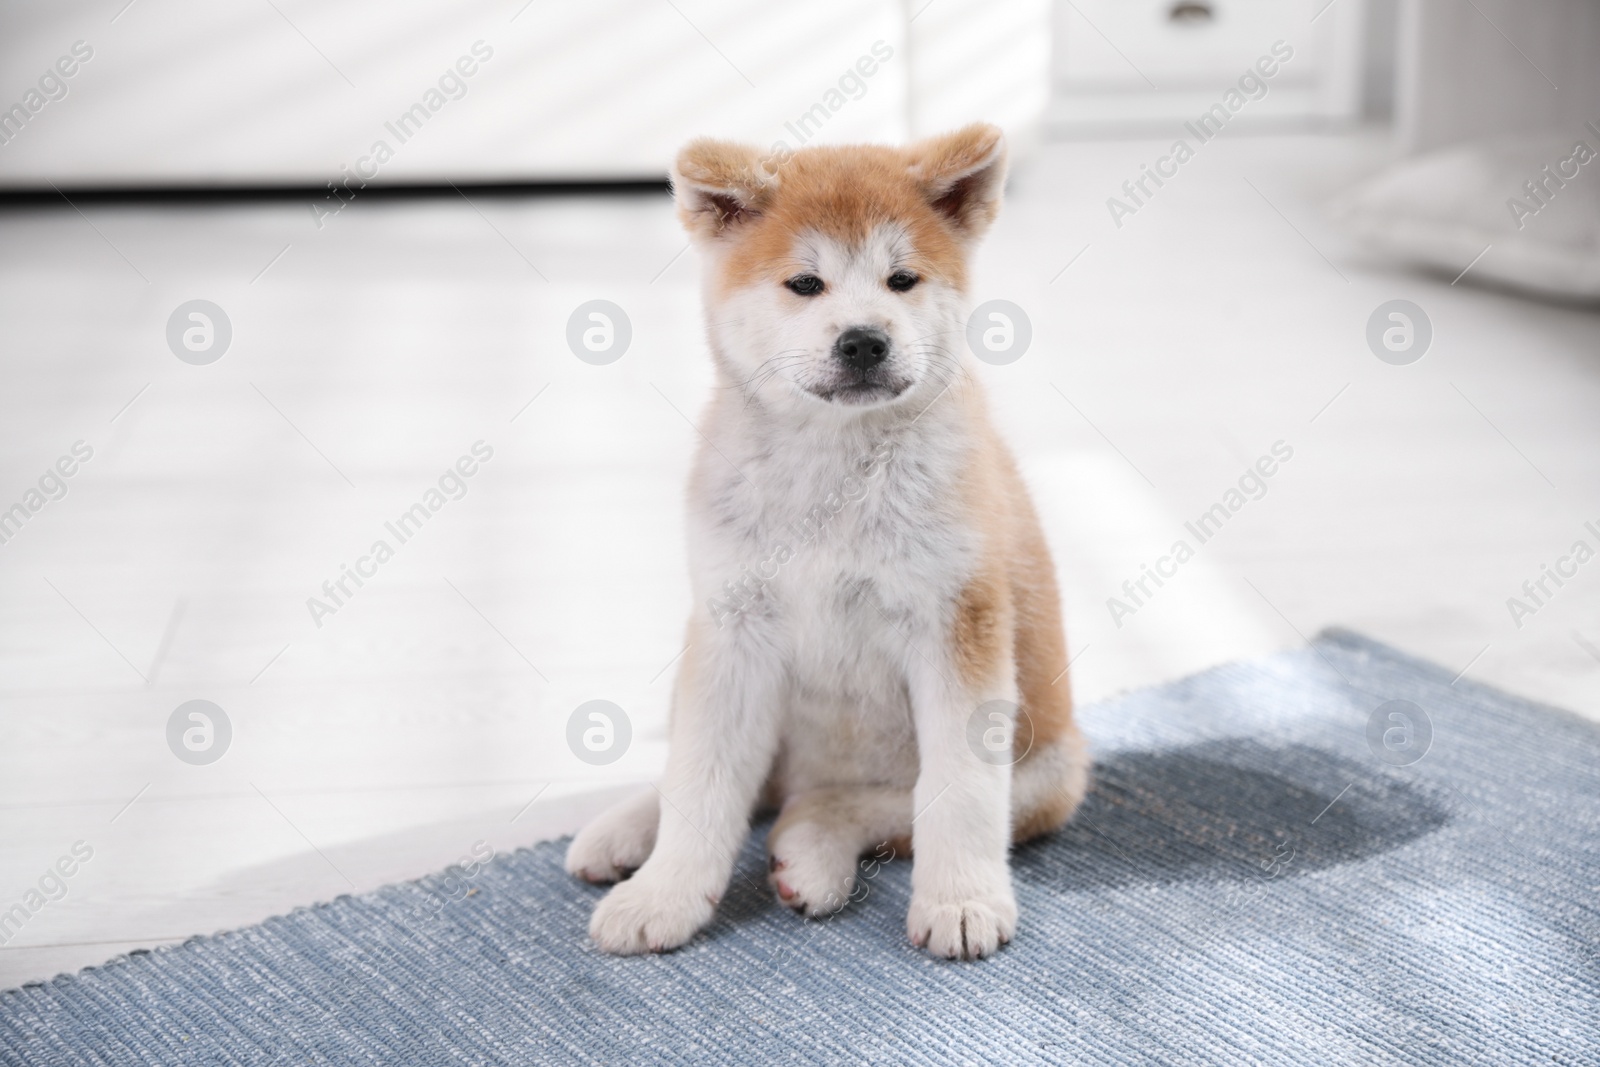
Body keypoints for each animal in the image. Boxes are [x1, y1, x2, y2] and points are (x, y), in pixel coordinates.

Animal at [563, 123, 1088, 959]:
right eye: (805, 284)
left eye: (902, 280)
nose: (864, 341)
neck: (835, 473)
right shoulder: (732, 628)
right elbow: (700, 782)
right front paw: (666, 892)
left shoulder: (957, 624)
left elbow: (957, 793)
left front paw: (961, 899)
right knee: (734, 783)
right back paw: (626, 830)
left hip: (1048, 768)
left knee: (865, 804)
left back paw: (812, 844)